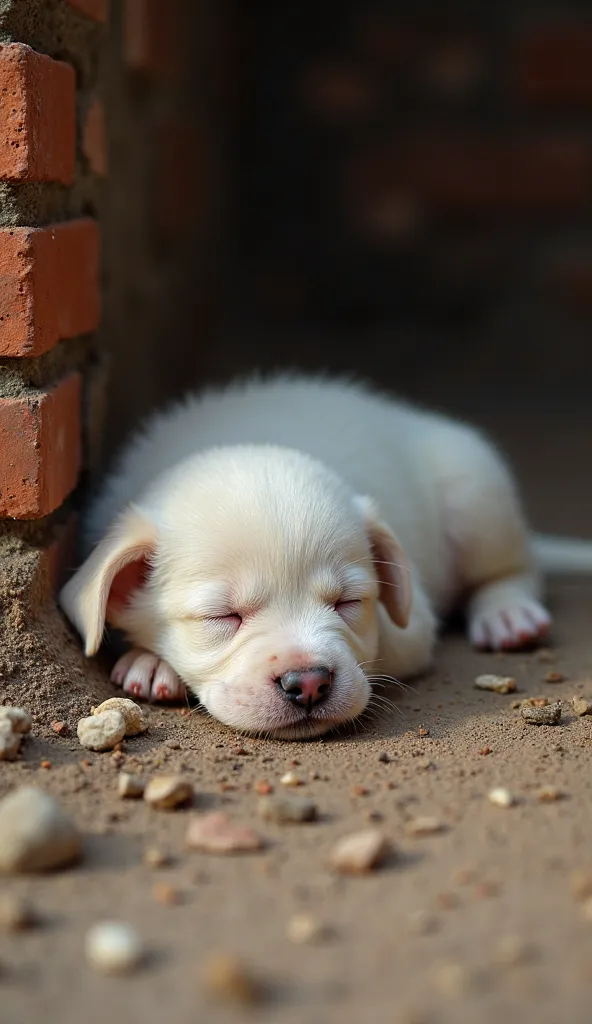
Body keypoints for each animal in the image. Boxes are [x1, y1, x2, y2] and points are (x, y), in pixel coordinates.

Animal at [58, 376, 589, 737]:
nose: (309, 683)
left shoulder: (412, 626)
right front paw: (151, 663)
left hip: (476, 492)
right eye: (222, 616)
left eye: (348, 603)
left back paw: (508, 613)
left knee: (515, 567)